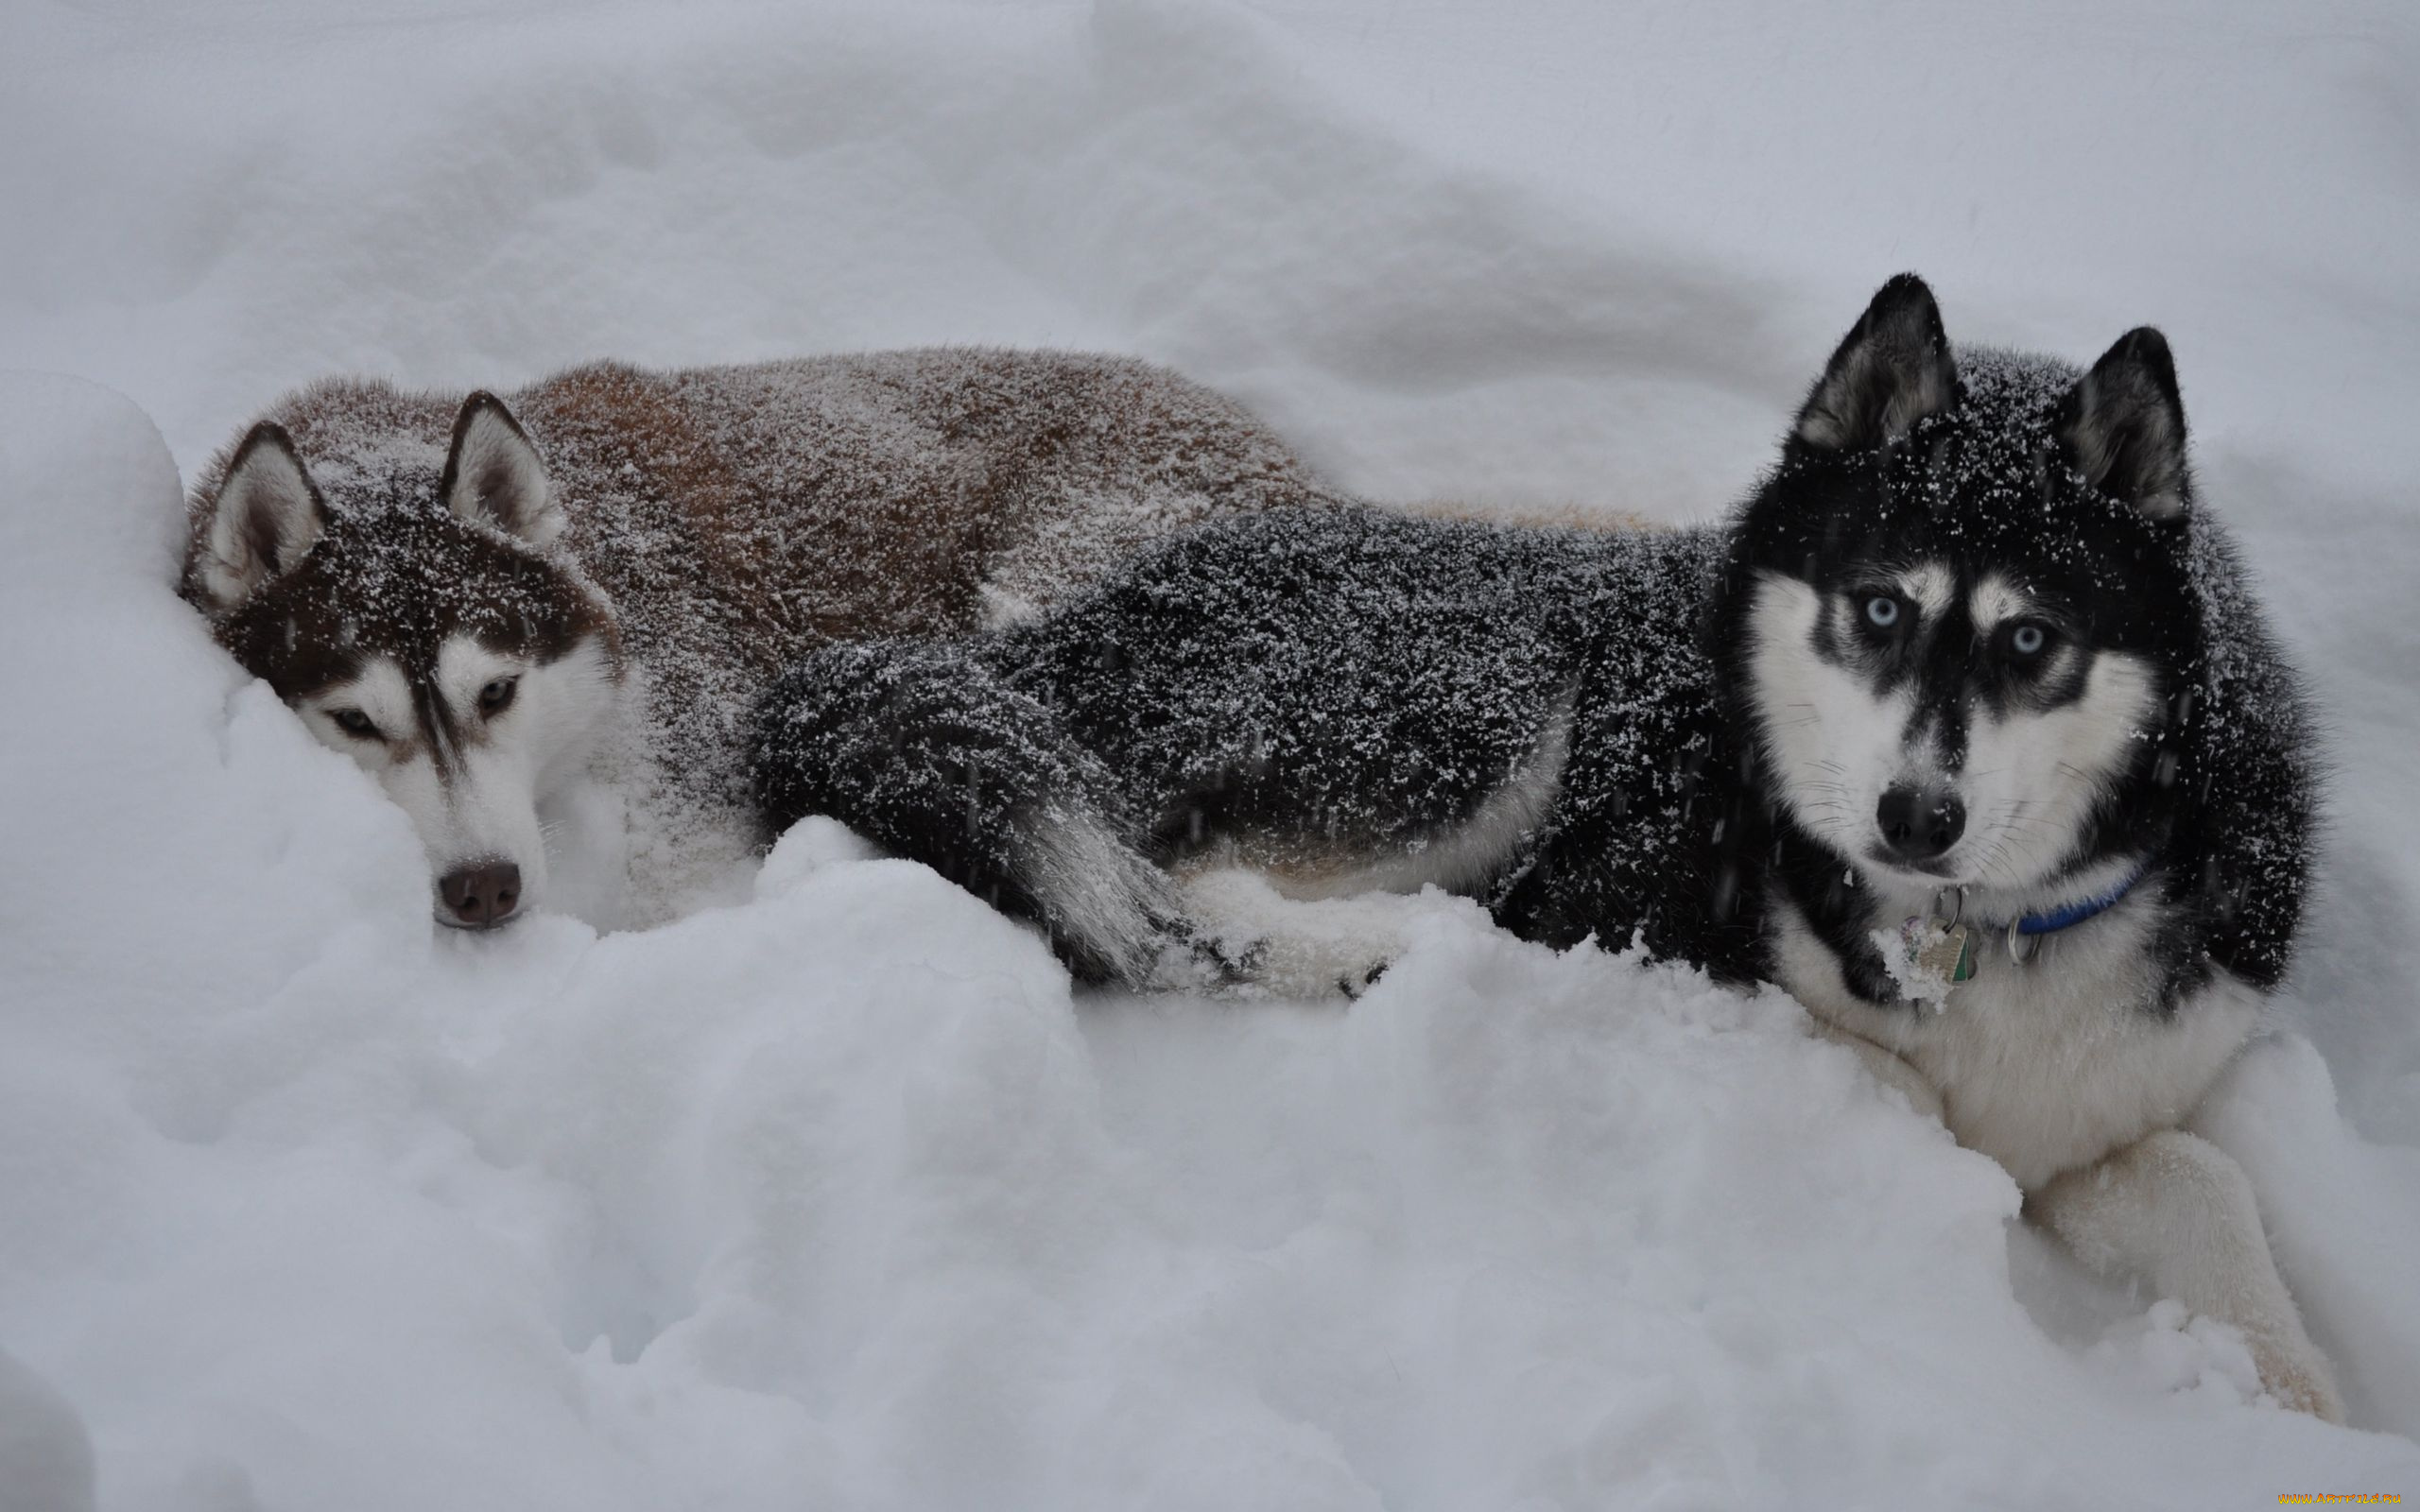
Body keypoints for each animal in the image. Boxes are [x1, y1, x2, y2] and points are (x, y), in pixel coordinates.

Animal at [759, 280, 2342, 1413]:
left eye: (2032, 640)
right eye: (1879, 608)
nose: (1917, 817)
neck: (1971, 933)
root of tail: (1059, 628)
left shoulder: (2126, 1078)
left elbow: (2194, 1178)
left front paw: (2292, 1387)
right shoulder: (1645, 918)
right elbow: (1883, 1086)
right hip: (1478, 696)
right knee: (1179, 896)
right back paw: (1373, 950)